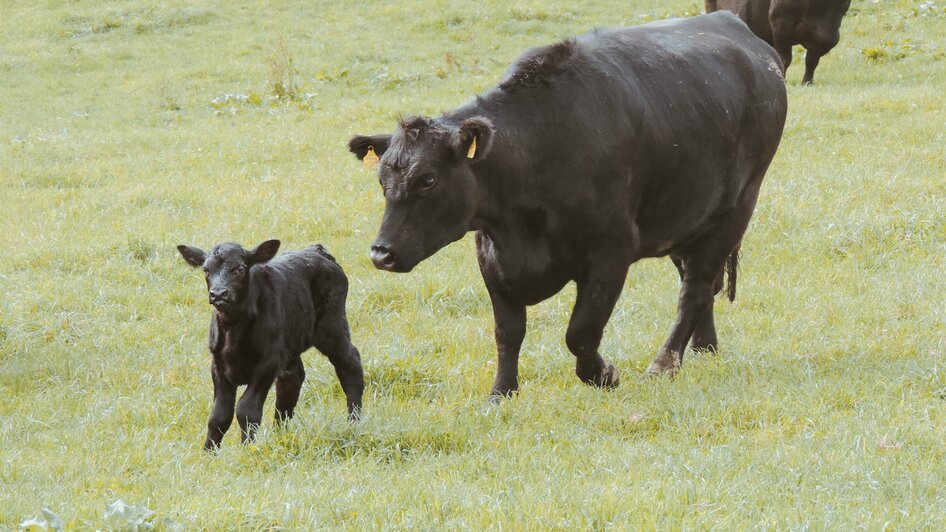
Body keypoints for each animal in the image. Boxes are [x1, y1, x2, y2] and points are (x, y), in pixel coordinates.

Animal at [177, 241, 366, 448]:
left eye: (240, 269)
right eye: (206, 270)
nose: (218, 293)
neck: (233, 329)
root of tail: (316, 250)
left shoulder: (268, 362)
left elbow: (246, 409)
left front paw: (247, 448)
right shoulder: (218, 364)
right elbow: (219, 416)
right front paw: (209, 452)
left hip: (332, 328)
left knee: (350, 364)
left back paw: (354, 423)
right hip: (291, 343)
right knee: (292, 381)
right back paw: (280, 435)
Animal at [350, 12, 784, 400]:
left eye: (428, 180)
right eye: (382, 181)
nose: (381, 253)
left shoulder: (611, 253)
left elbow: (580, 332)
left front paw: (603, 375)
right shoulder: (491, 256)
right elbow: (508, 331)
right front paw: (502, 393)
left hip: (736, 208)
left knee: (695, 287)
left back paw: (664, 364)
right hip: (688, 215)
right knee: (699, 281)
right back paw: (702, 347)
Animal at [704, 0, 852, 84]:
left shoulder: (828, 33)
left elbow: (812, 60)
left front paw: (807, 82)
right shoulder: (781, 22)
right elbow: (784, 58)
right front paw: (782, 79)